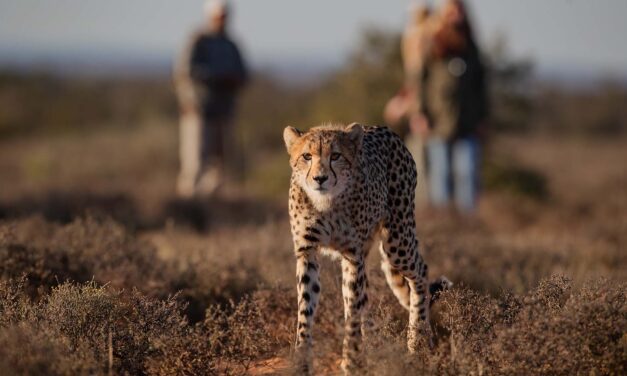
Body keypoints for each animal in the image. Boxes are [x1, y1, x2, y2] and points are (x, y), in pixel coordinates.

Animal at [284, 123, 452, 374]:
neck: (327, 202)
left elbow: (353, 310)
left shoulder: (353, 255)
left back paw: (417, 341)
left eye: (336, 156)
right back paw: (374, 344)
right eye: (306, 156)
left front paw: (352, 361)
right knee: (366, 296)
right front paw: (302, 362)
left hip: (397, 240)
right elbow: (306, 309)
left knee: (420, 271)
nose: (320, 178)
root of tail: (384, 129)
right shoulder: (307, 253)